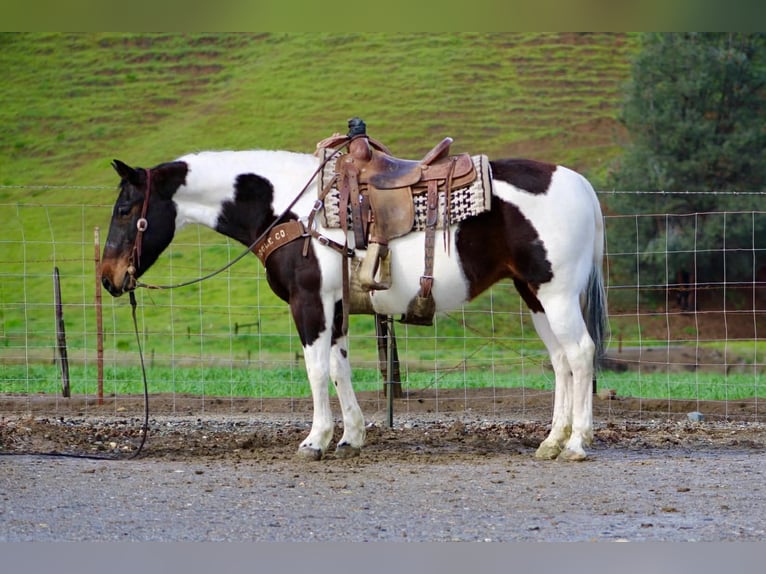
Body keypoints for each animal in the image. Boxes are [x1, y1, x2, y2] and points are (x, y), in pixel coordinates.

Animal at [100, 146, 608, 462]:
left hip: (557, 294)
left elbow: (315, 368)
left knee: (581, 354)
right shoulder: (338, 308)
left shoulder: (310, 303)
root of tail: (581, 184)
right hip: (534, 295)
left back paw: (577, 444)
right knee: (561, 361)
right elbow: (339, 366)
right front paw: (352, 437)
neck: (292, 209)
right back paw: (552, 441)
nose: (108, 278)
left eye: (125, 210)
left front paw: (316, 440)